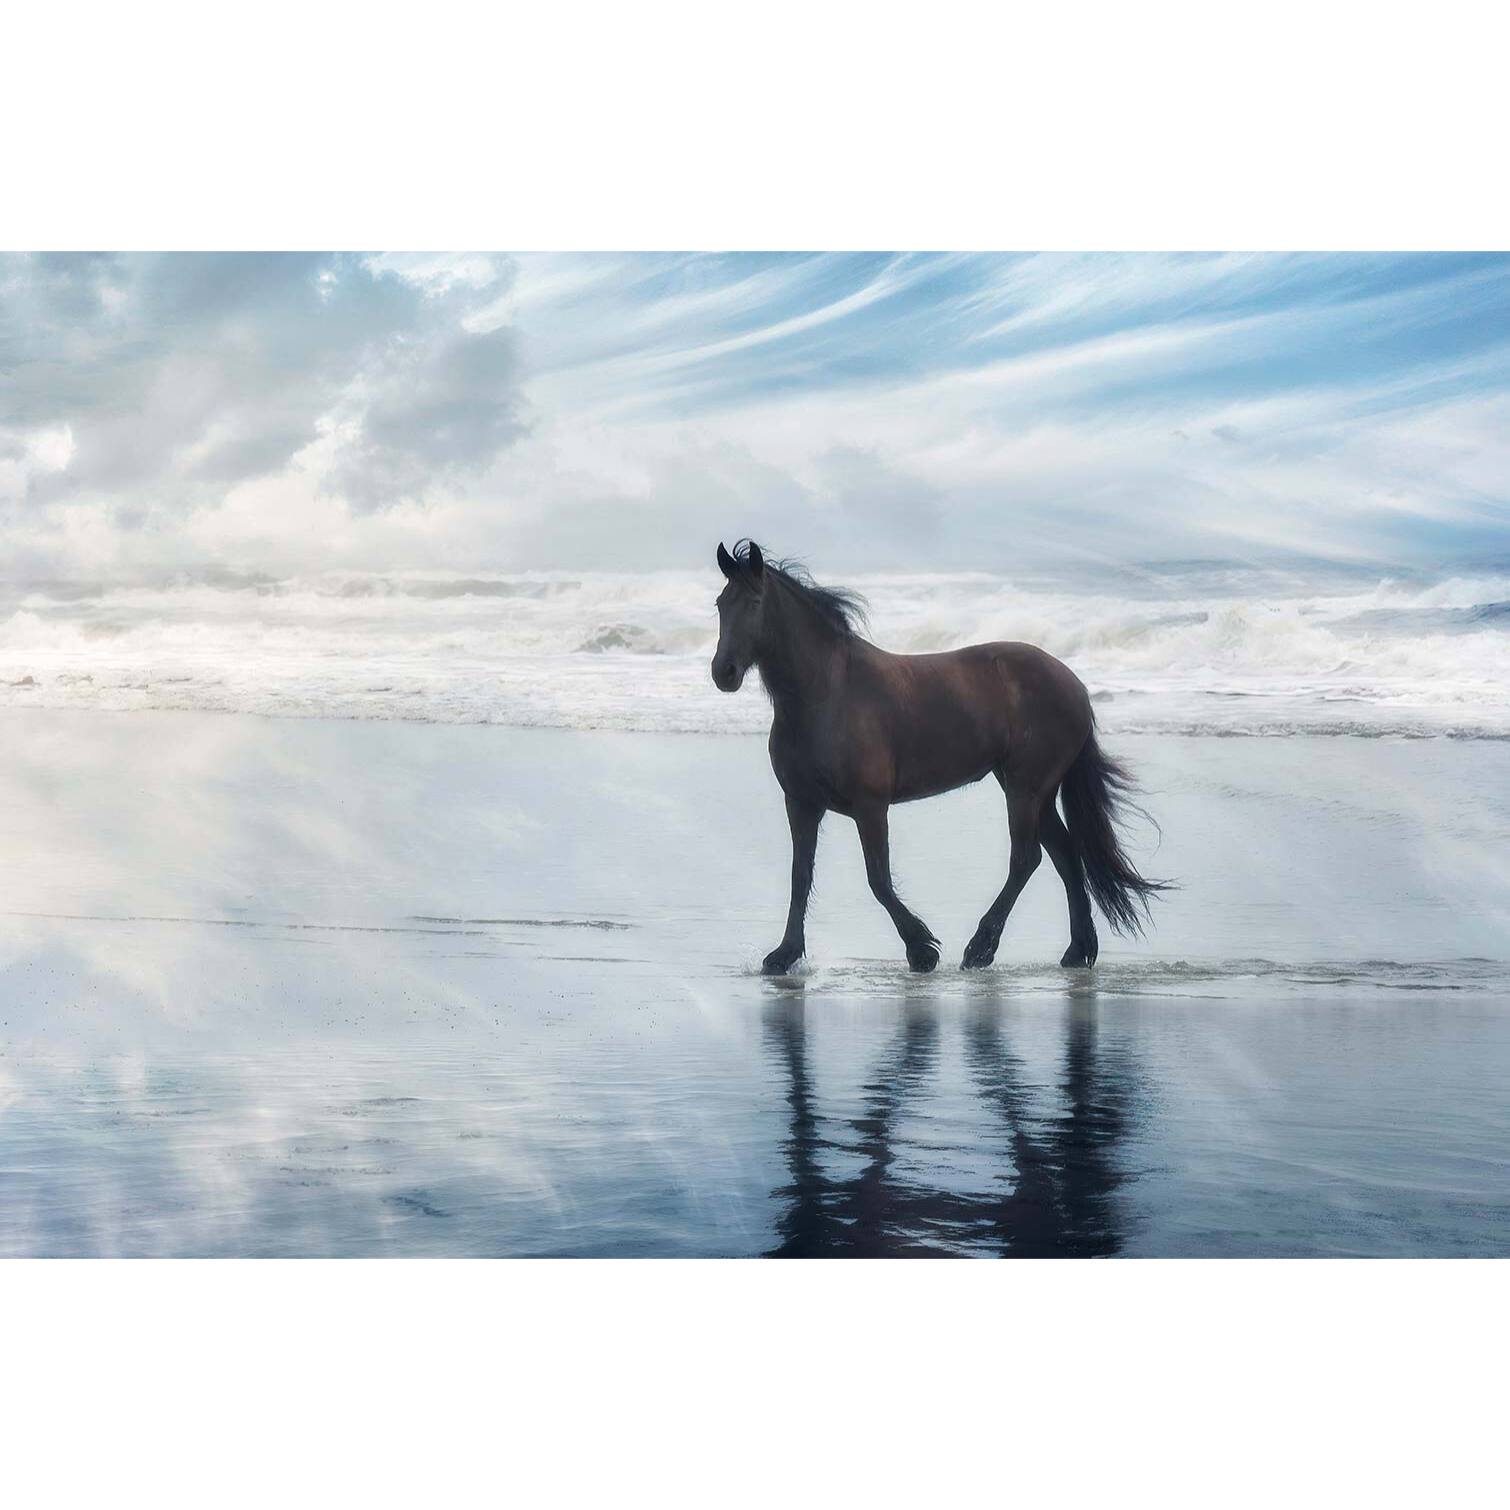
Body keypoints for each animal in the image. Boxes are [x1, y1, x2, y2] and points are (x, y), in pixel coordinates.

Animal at [711, 539, 1169, 974]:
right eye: (720, 604)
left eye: (754, 602)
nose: (723, 673)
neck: (827, 694)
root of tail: (1074, 685)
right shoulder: (801, 804)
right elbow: (800, 877)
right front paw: (784, 955)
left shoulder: (870, 807)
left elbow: (878, 880)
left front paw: (922, 950)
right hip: (1033, 790)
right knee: (1065, 855)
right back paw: (1077, 951)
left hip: (1025, 788)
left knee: (1027, 858)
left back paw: (980, 949)